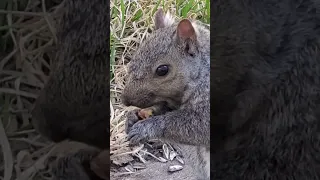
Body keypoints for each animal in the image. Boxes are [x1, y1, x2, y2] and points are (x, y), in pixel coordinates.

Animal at [122, 8, 210, 179]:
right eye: (133, 60)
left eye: (162, 70)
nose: (125, 100)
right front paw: (132, 117)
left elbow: (199, 126)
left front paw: (146, 128)